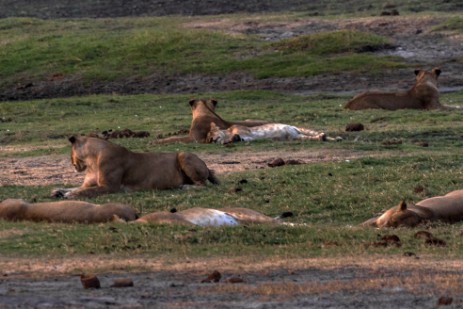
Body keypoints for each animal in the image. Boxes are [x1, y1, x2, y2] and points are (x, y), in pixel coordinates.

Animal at [51, 135, 220, 197]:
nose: (72, 164)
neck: (91, 161)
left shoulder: (110, 187)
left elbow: (87, 191)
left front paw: (70, 195)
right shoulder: (89, 183)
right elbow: (76, 187)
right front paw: (58, 191)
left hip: (184, 154)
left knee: (203, 184)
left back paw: (185, 186)